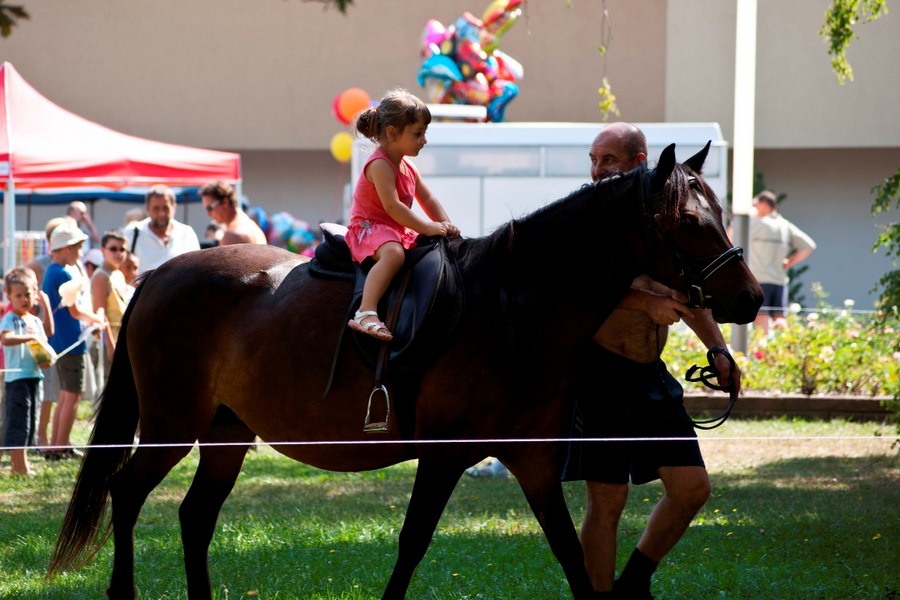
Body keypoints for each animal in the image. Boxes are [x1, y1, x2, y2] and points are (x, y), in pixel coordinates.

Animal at [49, 145, 760, 600]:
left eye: (722, 212)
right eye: (690, 219)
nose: (750, 299)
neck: (509, 308)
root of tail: (160, 274)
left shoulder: (533, 460)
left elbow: (568, 553)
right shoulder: (443, 457)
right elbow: (413, 543)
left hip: (225, 433)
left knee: (194, 516)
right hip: (173, 424)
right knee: (126, 494)